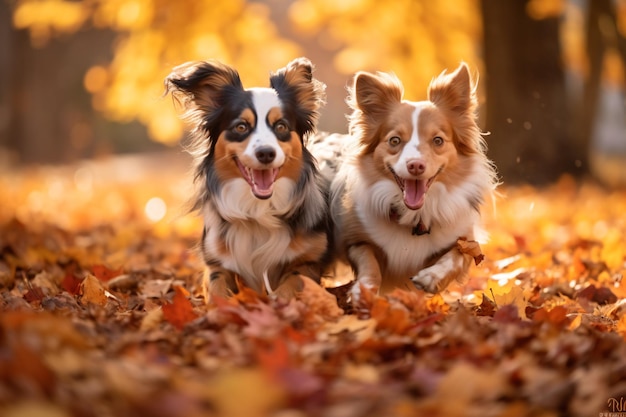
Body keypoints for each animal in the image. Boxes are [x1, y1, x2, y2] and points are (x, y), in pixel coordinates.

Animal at [166, 57, 332, 300]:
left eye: (281, 126)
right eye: (241, 127)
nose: (265, 153)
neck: (257, 211)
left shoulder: (308, 262)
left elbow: (290, 286)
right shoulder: (216, 264)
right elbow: (217, 293)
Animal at [330, 62, 494, 300]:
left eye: (438, 140)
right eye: (394, 140)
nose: (416, 165)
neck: (414, 218)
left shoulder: (467, 241)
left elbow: (455, 257)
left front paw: (431, 277)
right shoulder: (355, 240)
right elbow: (370, 263)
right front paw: (364, 290)